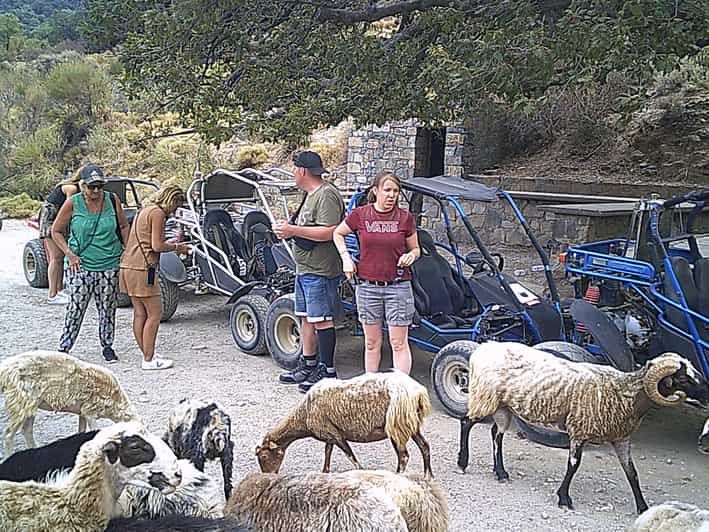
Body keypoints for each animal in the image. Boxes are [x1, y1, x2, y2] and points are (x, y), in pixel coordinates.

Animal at [0, 350, 139, 458]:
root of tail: (4, 370)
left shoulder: (83, 411)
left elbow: (81, 431)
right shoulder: (90, 411)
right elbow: (94, 430)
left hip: (30, 405)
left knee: (27, 430)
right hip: (20, 402)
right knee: (8, 434)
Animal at [254, 370, 432, 478]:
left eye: (264, 456)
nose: (267, 476)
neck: (303, 414)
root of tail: (418, 392)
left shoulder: (335, 435)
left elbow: (350, 455)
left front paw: (361, 471)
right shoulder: (330, 433)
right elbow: (327, 452)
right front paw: (325, 472)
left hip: (395, 426)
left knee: (404, 456)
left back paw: (397, 476)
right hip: (411, 424)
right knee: (424, 446)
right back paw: (428, 476)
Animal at [454, 340, 708, 516]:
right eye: (683, 379)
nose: (707, 392)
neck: (624, 393)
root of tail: (483, 349)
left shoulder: (622, 438)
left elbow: (632, 473)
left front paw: (643, 507)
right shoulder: (579, 429)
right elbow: (573, 465)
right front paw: (564, 499)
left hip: (503, 407)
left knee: (496, 434)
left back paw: (500, 472)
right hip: (485, 398)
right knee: (466, 422)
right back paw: (463, 463)